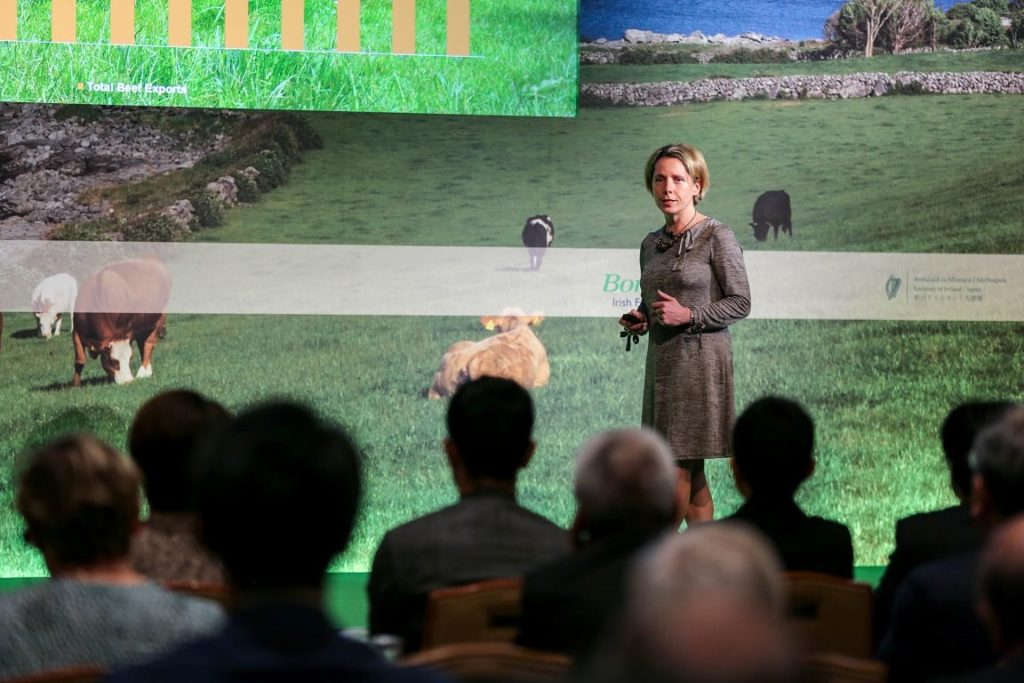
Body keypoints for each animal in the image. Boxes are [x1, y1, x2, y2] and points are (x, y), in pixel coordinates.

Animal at [72, 258, 172, 387]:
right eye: (114, 361)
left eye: (130, 359)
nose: (129, 381)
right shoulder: (76, 332)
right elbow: (79, 360)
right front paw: (75, 384)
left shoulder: (128, 331)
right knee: (142, 344)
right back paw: (147, 371)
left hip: (160, 317)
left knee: (149, 343)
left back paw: (142, 372)